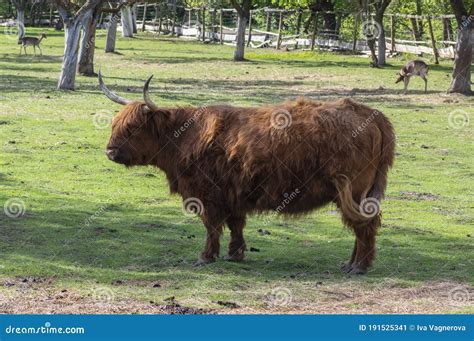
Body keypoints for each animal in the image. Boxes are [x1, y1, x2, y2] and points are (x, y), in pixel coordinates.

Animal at [100, 71, 396, 274]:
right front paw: (235, 254)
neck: (183, 136)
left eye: (133, 128)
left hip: (351, 190)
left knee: (365, 225)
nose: (110, 151)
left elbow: (212, 227)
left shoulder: (206, 195)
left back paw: (359, 266)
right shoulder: (232, 194)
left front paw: (205, 257)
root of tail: (371, 113)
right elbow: (235, 225)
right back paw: (350, 264)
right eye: (114, 124)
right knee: (361, 224)